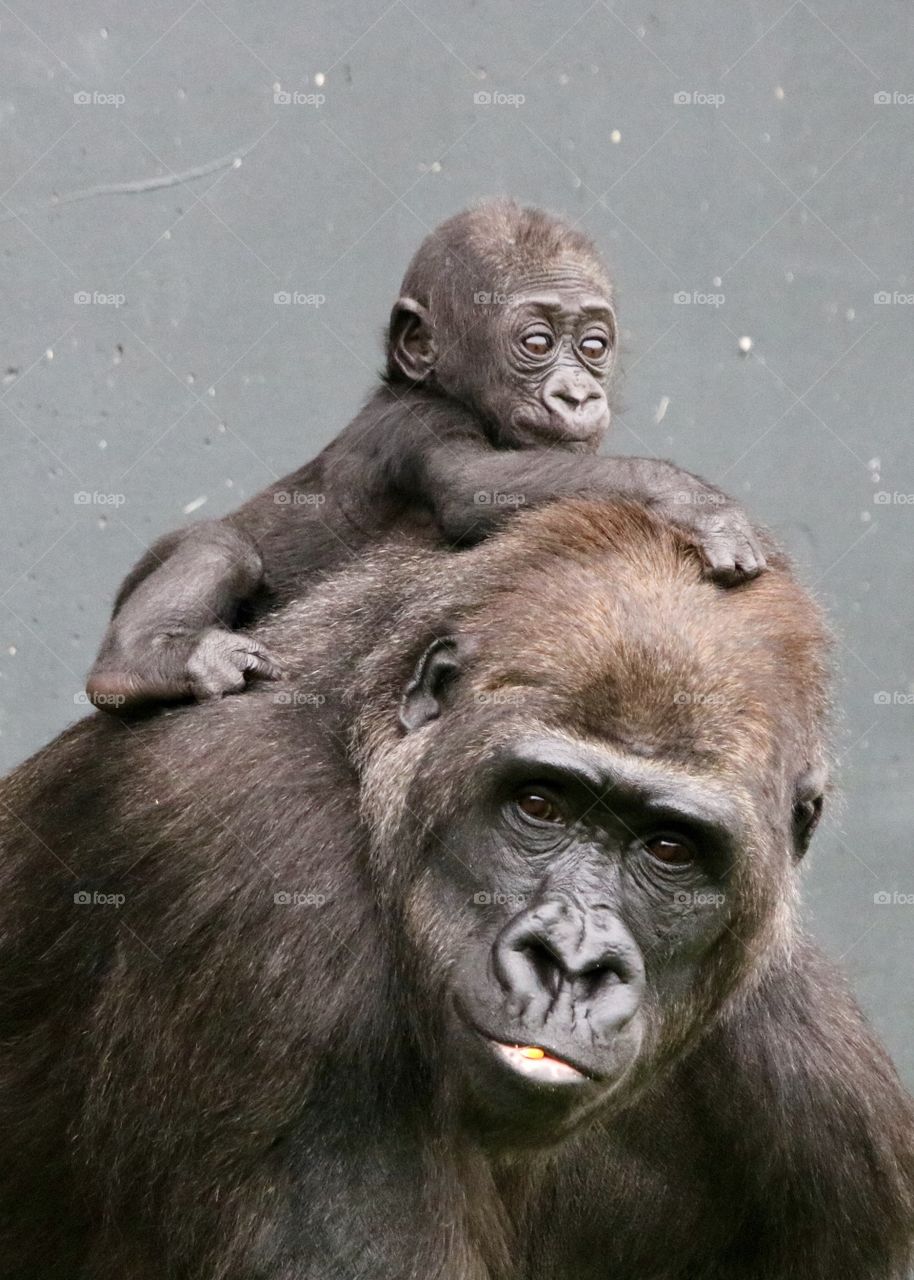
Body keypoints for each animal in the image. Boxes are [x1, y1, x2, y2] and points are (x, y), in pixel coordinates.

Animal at [86, 198, 765, 711]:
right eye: (537, 342)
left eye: (594, 345)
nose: (578, 393)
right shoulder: (419, 425)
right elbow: (471, 487)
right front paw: (689, 500)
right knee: (219, 545)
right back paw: (147, 660)